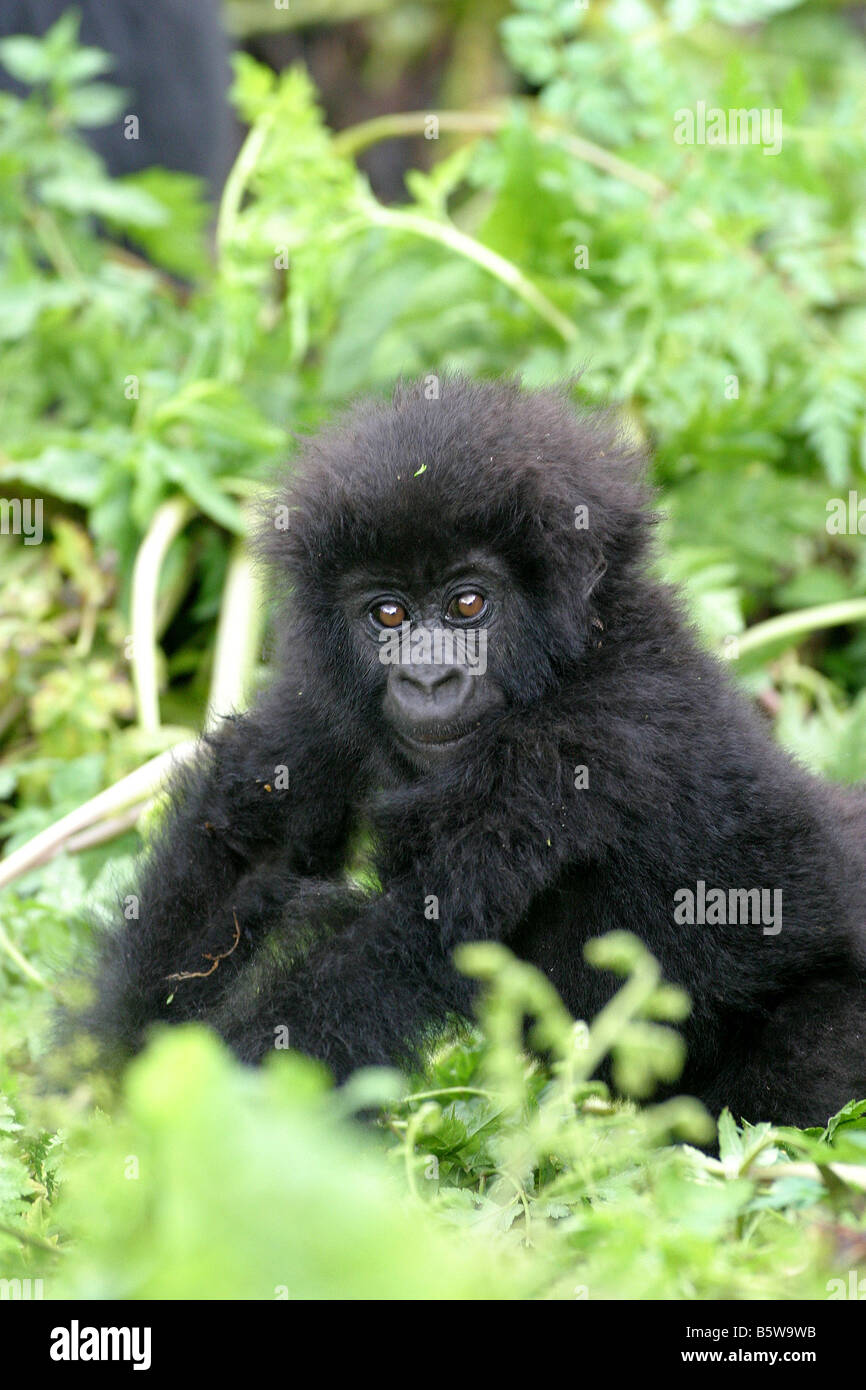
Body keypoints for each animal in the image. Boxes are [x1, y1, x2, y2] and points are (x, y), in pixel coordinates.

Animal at [81, 378, 866, 1128]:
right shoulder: (323, 694)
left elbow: (392, 946)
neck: (577, 653)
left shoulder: (577, 742)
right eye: (389, 613)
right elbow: (246, 851)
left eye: (468, 605)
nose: (429, 678)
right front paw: (104, 1084)